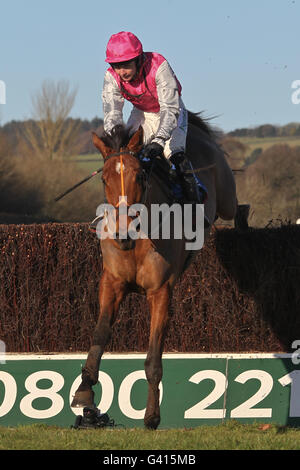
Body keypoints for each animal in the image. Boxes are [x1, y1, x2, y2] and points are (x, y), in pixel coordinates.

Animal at [71, 113, 237, 430]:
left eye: (140, 176)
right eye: (104, 179)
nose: (122, 234)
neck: (136, 239)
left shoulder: (161, 291)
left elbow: (153, 360)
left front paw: (151, 416)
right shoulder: (111, 283)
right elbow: (99, 336)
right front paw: (86, 396)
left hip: (226, 197)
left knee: (237, 209)